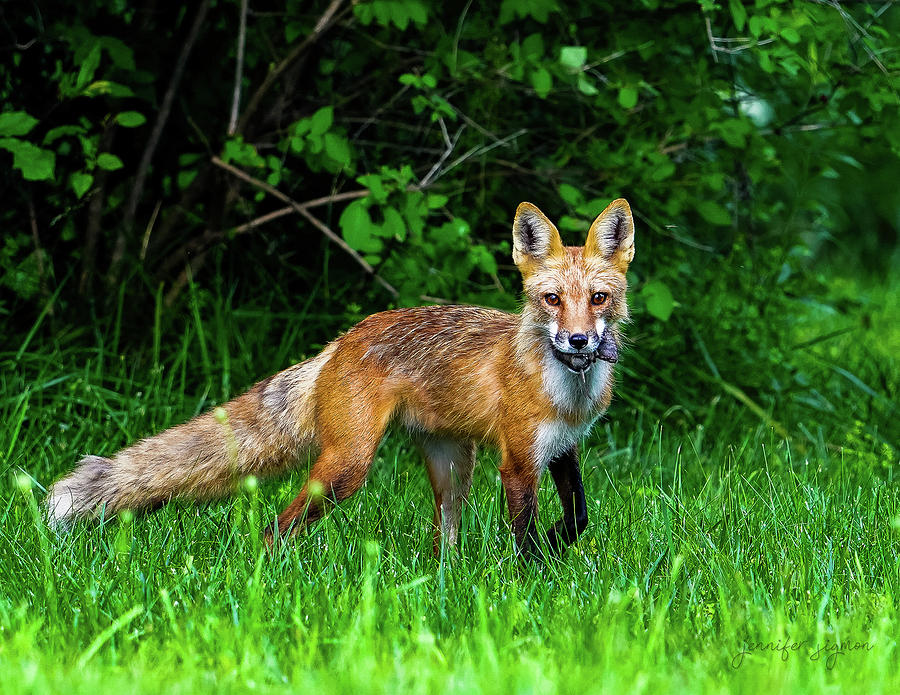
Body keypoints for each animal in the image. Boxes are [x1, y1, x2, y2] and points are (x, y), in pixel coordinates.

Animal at [44, 198, 632, 556]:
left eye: (598, 298)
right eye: (551, 299)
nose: (578, 342)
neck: (567, 393)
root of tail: (341, 341)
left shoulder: (561, 448)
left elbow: (579, 516)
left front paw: (556, 546)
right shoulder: (517, 460)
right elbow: (524, 538)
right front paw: (529, 581)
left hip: (451, 465)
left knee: (442, 543)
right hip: (348, 466)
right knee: (276, 527)